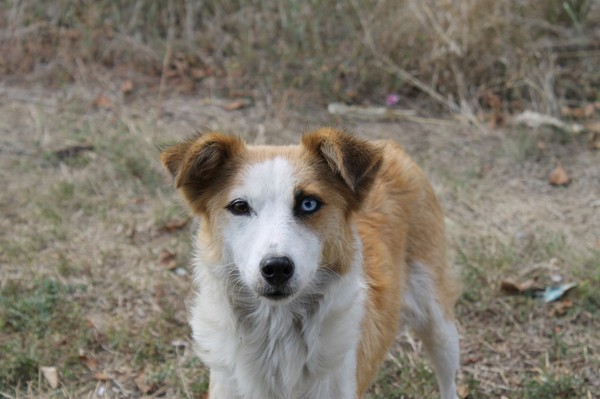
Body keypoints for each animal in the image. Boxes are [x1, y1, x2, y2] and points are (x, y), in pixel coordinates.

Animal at [159, 129, 460, 399]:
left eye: (308, 204)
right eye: (240, 206)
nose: (276, 268)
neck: (277, 332)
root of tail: (392, 146)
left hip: (438, 322)